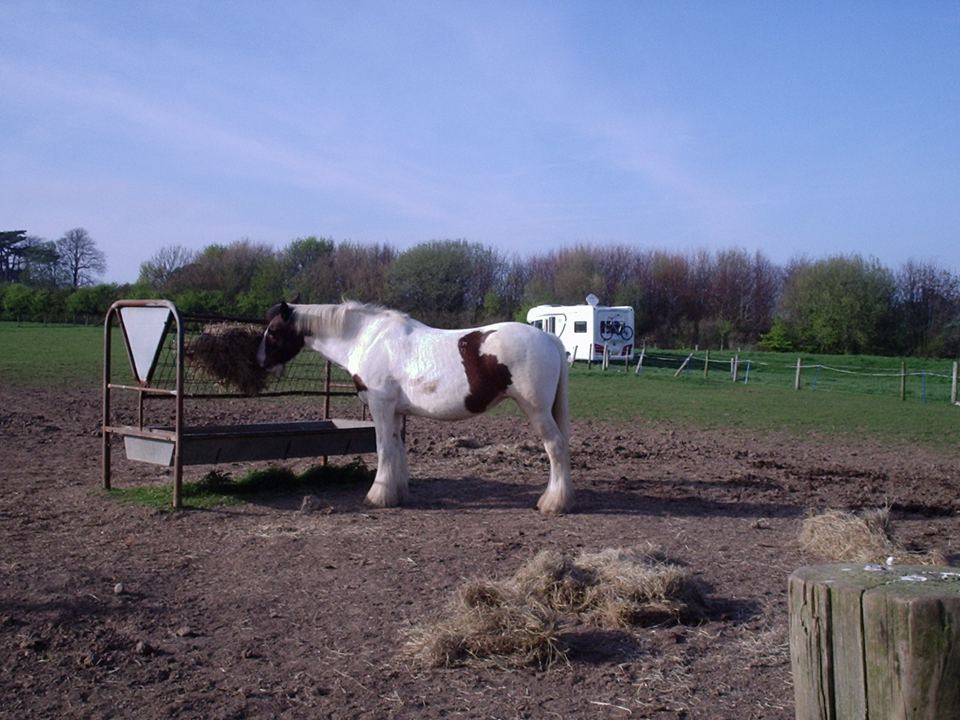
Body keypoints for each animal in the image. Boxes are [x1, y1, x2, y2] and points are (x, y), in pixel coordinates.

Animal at [256, 301, 574, 514]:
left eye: (273, 331)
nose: (260, 362)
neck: (367, 339)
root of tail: (549, 339)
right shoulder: (396, 412)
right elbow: (396, 448)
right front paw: (395, 495)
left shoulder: (381, 407)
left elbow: (383, 449)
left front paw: (376, 497)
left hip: (537, 410)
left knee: (555, 447)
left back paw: (552, 503)